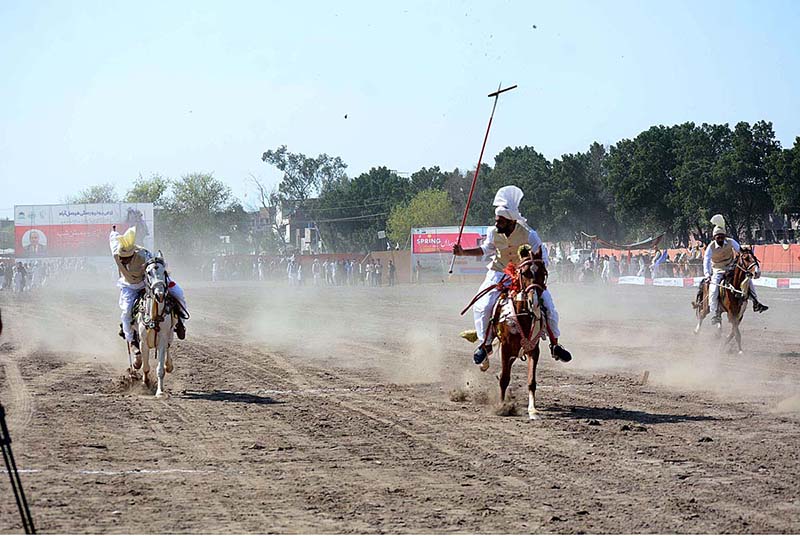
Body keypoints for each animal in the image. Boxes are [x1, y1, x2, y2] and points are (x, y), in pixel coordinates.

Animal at [137, 255, 176, 398]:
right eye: (148, 272)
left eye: (164, 272)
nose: (159, 294)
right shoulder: (143, 341)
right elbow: (146, 366)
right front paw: (145, 384)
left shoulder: (162, 340)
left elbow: (160, 369)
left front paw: (160, 391)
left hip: (170, 335)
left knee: (168, 349)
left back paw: (169, 365)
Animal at [494, 245, 552, 420]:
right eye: (525, 273)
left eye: (543, 273)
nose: (534, 301)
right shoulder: (506, 348)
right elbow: (505, 378)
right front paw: (502, 406)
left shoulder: (533, 348)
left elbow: (531, 380)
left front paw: (532, 410)